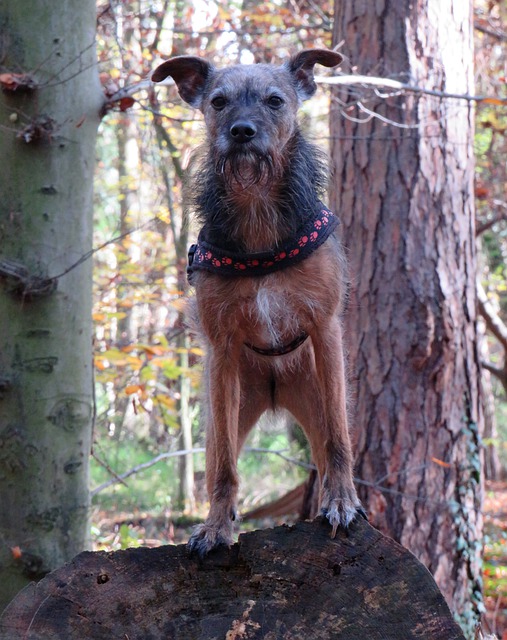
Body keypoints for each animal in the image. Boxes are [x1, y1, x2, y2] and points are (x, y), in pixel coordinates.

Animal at [152, 47, 366, 556]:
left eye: (274, 100)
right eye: (218, 102)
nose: (242, 131)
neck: (257, 209)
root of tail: (274, 390)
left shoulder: (325, 330)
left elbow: (340, 444)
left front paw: (342, 502)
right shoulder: (222, 347)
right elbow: (226, 470)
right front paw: (217, 527)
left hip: (314, 397)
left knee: (328, 446)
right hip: (227, 406)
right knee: (218, 459)